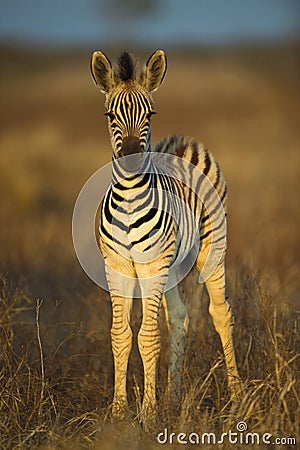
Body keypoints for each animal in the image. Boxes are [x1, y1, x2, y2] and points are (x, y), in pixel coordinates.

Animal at [90, 51, 240, 424]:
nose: (131, 158)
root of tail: (183, 144)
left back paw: (237, 396)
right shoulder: (117, 266)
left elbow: (148, 336)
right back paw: (174, 399)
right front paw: (119, 410)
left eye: (149, 114)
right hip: (172, 266)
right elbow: (120, 336)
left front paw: (148, 413)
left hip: (212, 249)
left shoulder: (151, 266)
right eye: (110, 115)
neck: (130, 199)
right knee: (180, 318)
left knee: (221, 314)